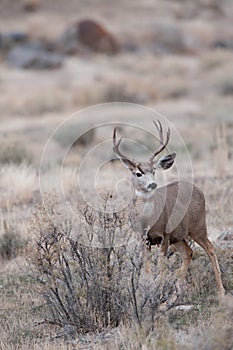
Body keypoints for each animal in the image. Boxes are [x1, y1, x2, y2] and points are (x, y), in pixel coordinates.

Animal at [113, 119, 226, 298]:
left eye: (153, 171)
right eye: (138, 173)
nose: (152, 184)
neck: (148, 221)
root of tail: (199, 190)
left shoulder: (164, 236)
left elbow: (160, 266)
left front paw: (158, 293)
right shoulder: (142, 238)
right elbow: (147, 268)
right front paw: (148, 292)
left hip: (198, 226)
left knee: (210, 248)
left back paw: (221, 291)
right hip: (179, 236)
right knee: (188, 252)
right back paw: (176, 292)